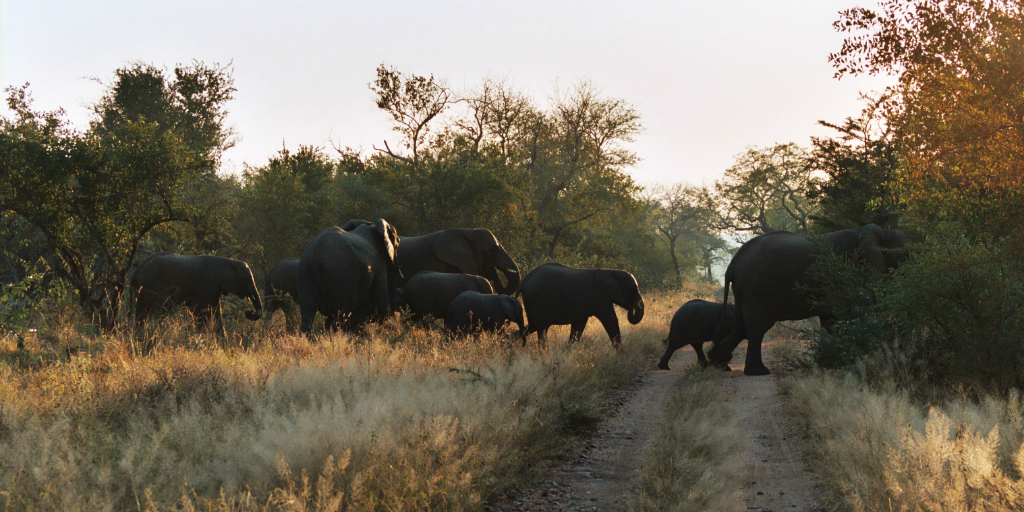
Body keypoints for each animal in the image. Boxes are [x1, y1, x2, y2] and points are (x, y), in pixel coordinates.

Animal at [133, 251, 264, 335]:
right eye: (247, 280)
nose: (248, 312)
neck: (227, 261)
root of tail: (137, 270)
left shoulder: (214, 289)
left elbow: (217, 311)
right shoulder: (206, 285)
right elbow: (200, 311)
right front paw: (199, 338)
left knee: (141, 312)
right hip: (154, 284)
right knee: (165, 307)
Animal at [708, 224, 909, 376]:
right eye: (903, 257)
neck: (879, 231)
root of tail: (732, 264)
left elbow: (831, 321)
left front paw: (826, 363)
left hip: (744, 290)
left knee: (742, 327)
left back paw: (718, 363)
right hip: (756, 289)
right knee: (757, 328)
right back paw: (757, 371)